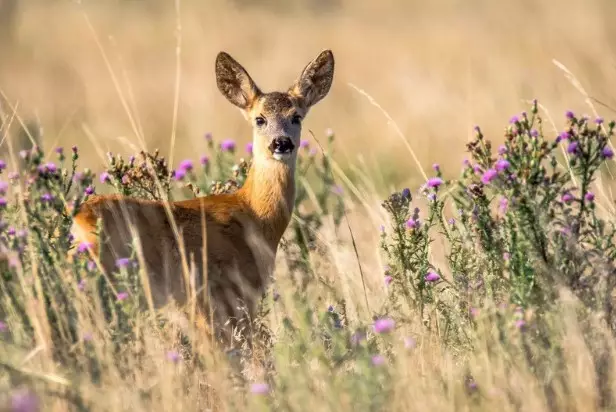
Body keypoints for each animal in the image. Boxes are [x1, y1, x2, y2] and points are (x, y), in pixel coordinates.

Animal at [72, 48, 336, 344]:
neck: (255, 215)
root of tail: (79, 221)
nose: (281, 143)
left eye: (296, 117)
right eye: (260, 119)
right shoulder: (224, 294)